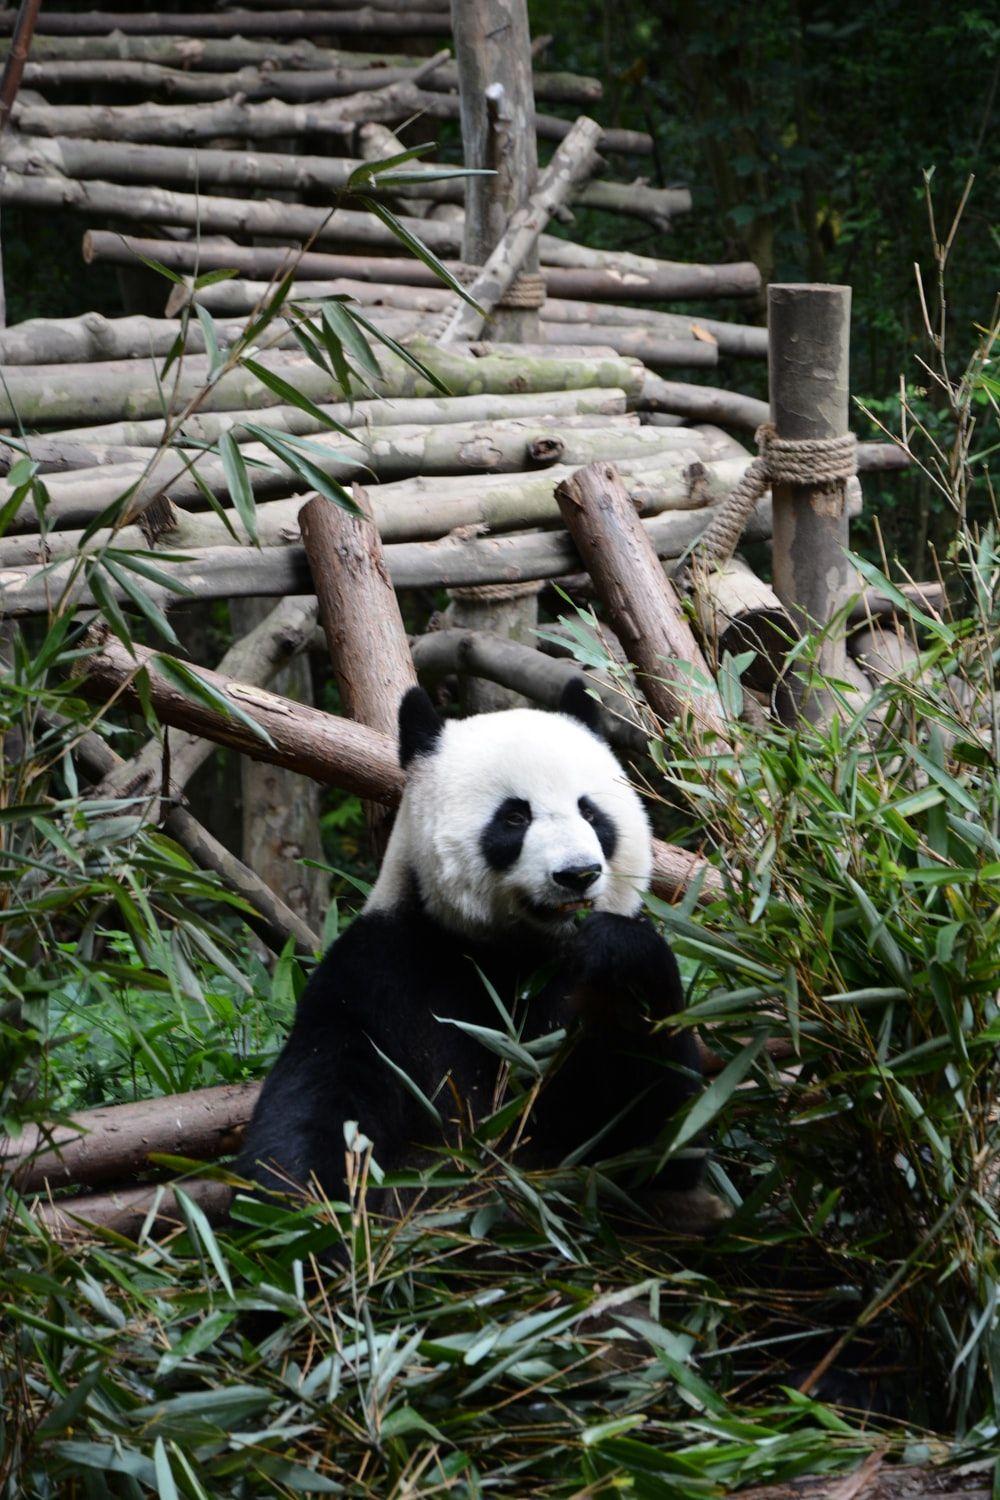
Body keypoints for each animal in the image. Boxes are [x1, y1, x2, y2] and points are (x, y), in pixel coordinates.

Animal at [238, 679, 706, 1214]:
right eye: (515, 817)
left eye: (590, 812)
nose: (577, 874)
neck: (519, 953)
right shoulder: (381, 970)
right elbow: (323, 1094)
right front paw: (308, 1212)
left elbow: (659, 1146)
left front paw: (617, 954)